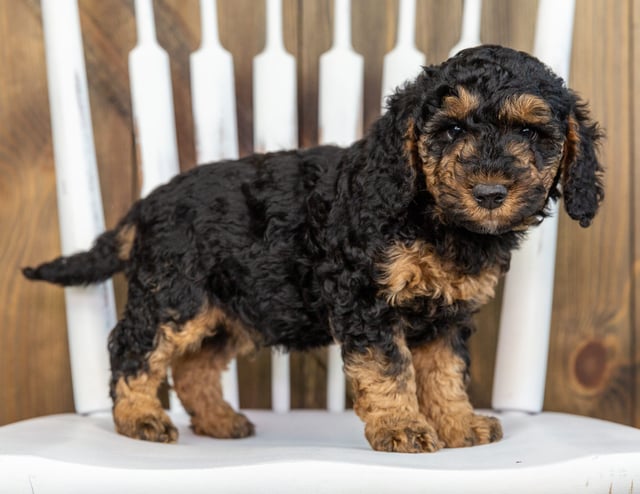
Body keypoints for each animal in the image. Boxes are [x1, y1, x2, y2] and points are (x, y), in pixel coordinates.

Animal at [22, 45, 604, 452]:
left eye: (530, 134)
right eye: (451, 129)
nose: (488, 193)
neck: (429, 213)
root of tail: (147, 203)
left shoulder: (448, 316)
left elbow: (445, 374)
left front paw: (459, 424)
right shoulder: (367, 300)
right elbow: (390, 368)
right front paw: (402, 427)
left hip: (227, 308)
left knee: (195, 367)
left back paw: (217, 420)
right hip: (175, 295)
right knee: (132, 349)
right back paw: (140, 419)